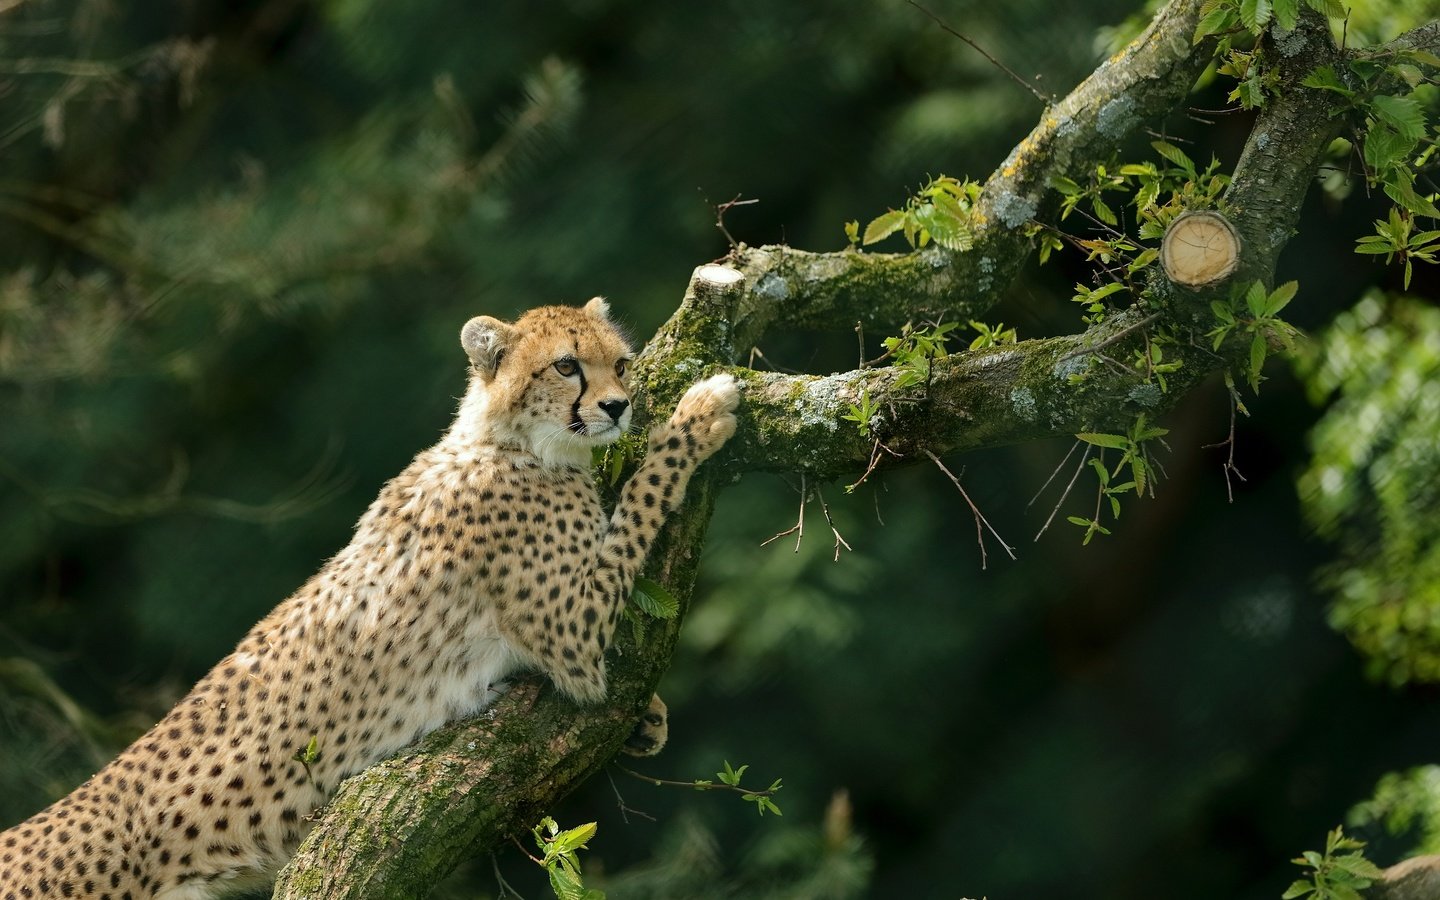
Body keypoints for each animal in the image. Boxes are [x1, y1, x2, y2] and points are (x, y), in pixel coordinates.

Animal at [0, 299, 737, 898]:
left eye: (621, 363)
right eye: (566, 366)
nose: (617, 406)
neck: (509, 442)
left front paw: (651, 718)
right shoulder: (574, 635)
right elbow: (641, 497)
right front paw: (698, 417)